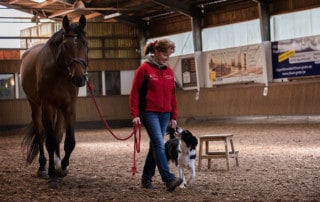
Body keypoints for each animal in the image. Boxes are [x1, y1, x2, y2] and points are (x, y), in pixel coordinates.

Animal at [20, 15, 87, 189]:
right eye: (66, 45)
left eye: (85, 43)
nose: (79, 79)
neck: (60, 71)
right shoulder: (47, 106)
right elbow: (49, 141)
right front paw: (52, 176)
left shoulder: (69, 107)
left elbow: (69, 141)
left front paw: (62, 168)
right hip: (36, 106)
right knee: (41, 134)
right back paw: (43, 168)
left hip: (59, 109)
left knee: (57, 133)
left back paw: (56, 163)